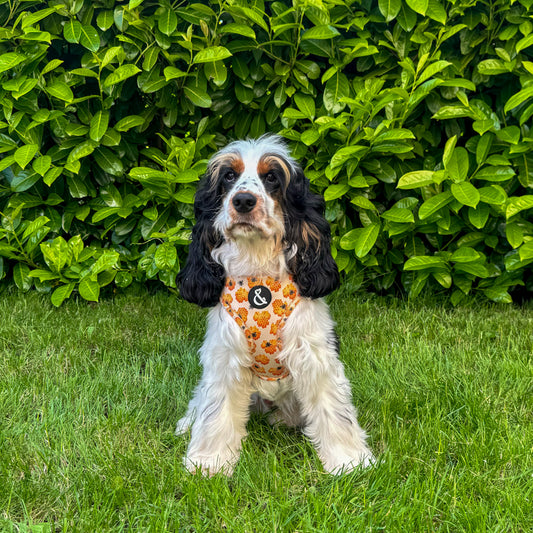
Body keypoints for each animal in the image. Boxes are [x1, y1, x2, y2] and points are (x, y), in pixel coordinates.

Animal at [177, 135, 372, 476]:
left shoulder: (314, 353)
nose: (243, 201)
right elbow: (216, 410)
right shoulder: (224, 355)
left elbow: (334, 410)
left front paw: (349, 461)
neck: (258, 269)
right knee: (200, 399)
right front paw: (209, 463)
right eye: (229, 176)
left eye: (271, 178)